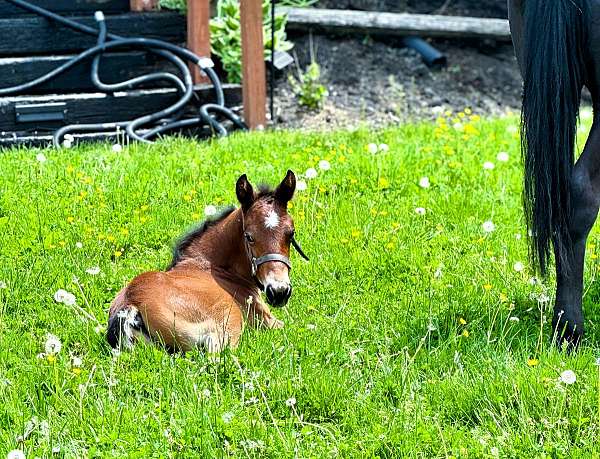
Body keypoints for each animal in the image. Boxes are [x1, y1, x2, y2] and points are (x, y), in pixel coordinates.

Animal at [104, 171, 310, 354]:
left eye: (291, 233)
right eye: (249, 236)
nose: (279, 292)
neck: (212, 266)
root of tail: (130, 304)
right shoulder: (267, 320)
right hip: (224, 327)